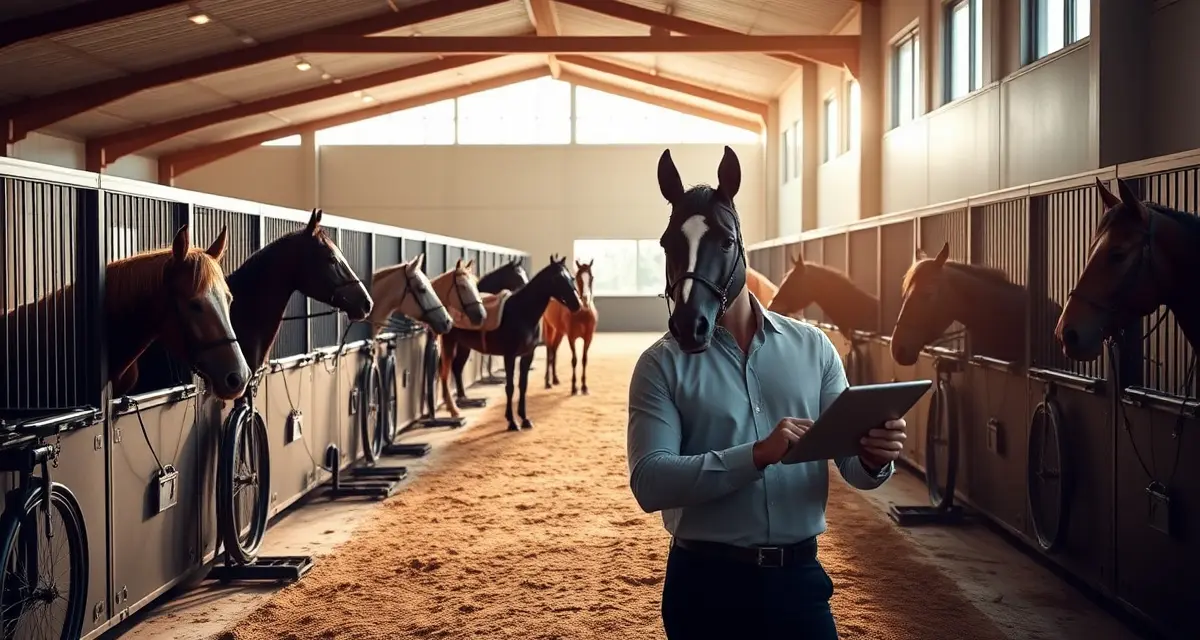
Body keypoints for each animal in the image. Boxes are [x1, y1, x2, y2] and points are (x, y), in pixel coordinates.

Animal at [542, 259, 598, 394]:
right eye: (577, 278)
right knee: (549, 351)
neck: (582, 313)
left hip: (559, 332)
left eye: (591, 277)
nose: (585, 300)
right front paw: (574, 387)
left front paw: (584, 387)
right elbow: (574, 360)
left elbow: (584, 360)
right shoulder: (571, 338)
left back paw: (555, 379)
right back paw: (547, 382)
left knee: (554, 350)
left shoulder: (588, 338)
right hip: (549, 328)